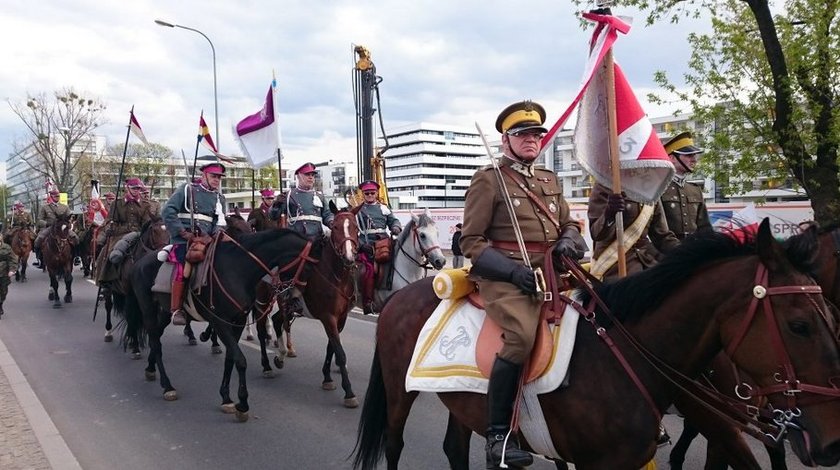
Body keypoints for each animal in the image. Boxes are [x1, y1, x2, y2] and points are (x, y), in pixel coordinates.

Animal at [122, 229, 322, 420]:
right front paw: (243, 404)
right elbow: (240, 360)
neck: (238, 269)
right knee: (155, 341)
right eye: (308, 267)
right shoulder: (220, 323)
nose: (296, 303)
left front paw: (226, 398)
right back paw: (167, 386)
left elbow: (230, 359)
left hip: (165, 312)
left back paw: (150, 368)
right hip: (147, 309)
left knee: (156, 337)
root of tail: (139, 263)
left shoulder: (237, 322)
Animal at [256, 203, 360, 408]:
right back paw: (266, 366)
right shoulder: (328, 317)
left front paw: (327, 378)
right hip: (262, 301)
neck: (336, 277)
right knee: (262, 329)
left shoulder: (340, 318)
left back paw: (281, 355)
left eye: (355, 227)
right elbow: (340, 352)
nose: (349, 257)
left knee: (277, 320)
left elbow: (331, 348)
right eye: (335, 227)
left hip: (286, 305)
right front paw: (349, 392)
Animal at [352, 220, 840, 470]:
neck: (623, 355)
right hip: (399, 392)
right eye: (798, 325)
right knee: (393, 444)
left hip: (462, 399)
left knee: (456, 447)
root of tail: (401, 296)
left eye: (830, 318)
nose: (832, 442)